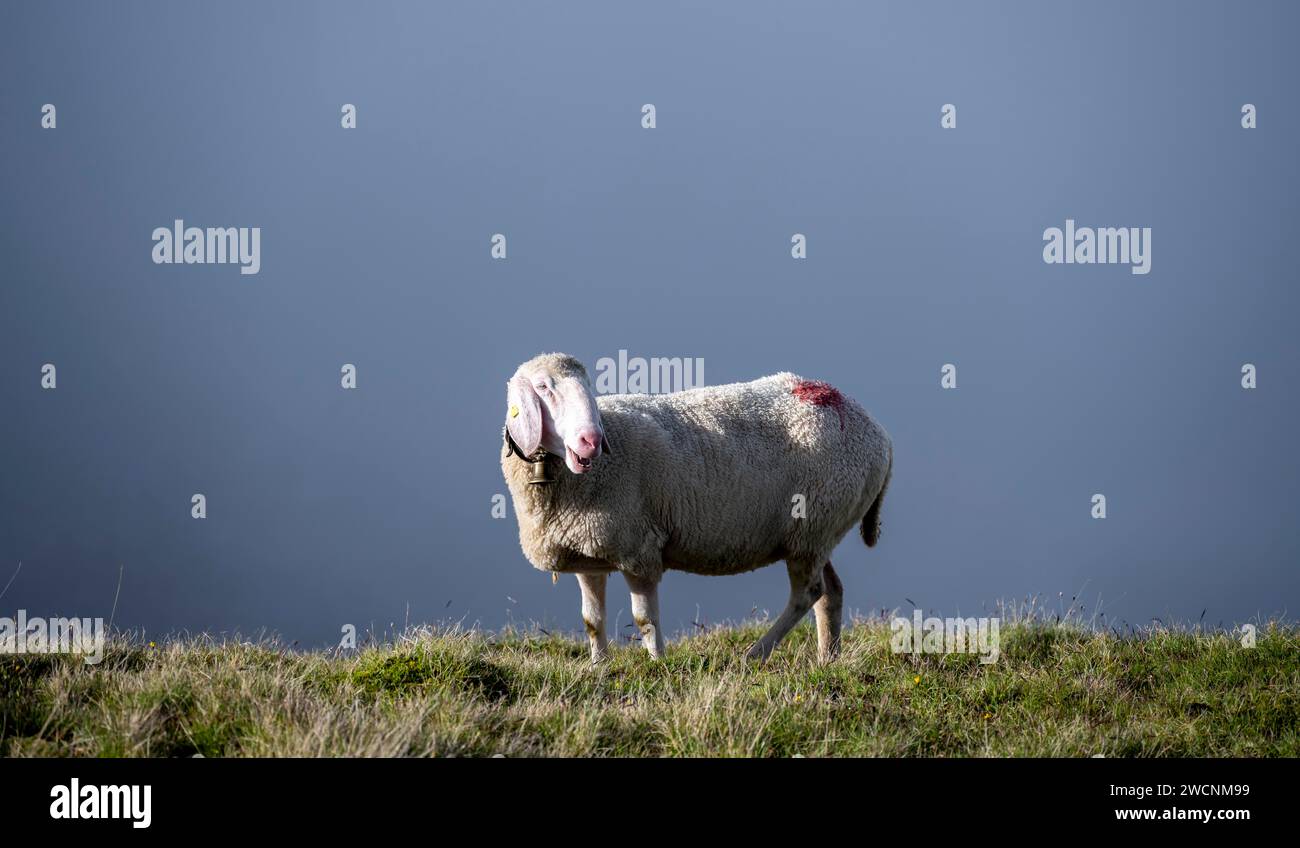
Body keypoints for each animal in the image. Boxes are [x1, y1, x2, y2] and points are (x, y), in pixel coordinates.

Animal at [499, 351, 894, 663]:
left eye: (588, 386)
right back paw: (828, 659)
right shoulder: (589, 553)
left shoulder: (640, 549)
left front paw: (658, 664)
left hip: (815, 523)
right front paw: (600, 667)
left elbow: (645, 620)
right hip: (815, 533)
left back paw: (756, 654)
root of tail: (876, 430)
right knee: (830, 592)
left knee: (808, 594)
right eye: (544, 387)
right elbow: (592, 621)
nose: (591, 440)